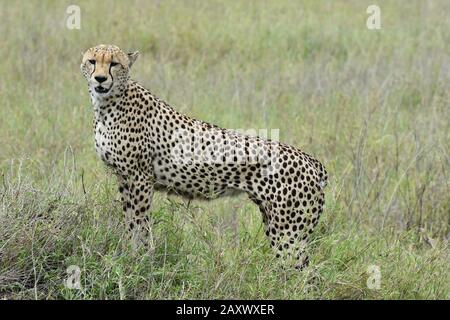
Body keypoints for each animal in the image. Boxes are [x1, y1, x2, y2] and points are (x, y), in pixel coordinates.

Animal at [81, 44, 326, 268]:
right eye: (92, 61)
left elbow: (139, 223)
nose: (100, 79)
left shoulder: (140, 178)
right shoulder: (124, 177)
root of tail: (311, 160)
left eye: (114, 64)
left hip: (288, 231)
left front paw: (138, 259)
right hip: (276, 223)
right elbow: (130, 220)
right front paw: (129, 255)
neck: (107, 105)